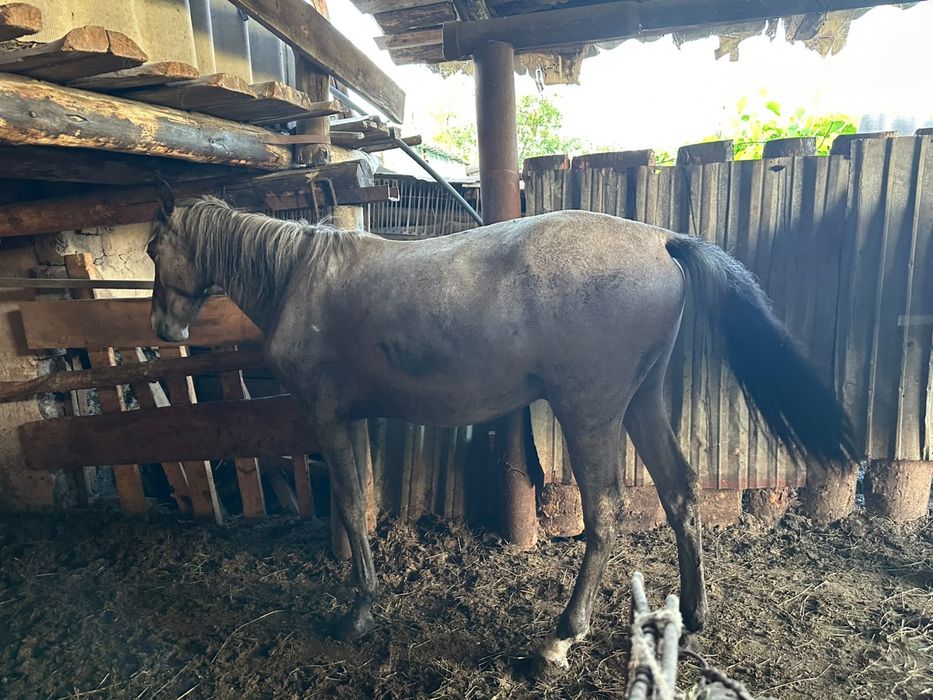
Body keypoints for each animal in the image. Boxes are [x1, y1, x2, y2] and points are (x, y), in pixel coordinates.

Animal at [147, 195, 858, 672]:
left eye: (154, 249)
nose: (163, 329)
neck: (303, 276)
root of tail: (662, 241)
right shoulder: (357, 420)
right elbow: (361, 503)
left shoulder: (328, 417)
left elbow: (348, 505)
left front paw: (357, 612)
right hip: (641, 404)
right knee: (680, 493)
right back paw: (693, 613)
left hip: (590, 411)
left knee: (605, 514)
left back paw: (558, 639)